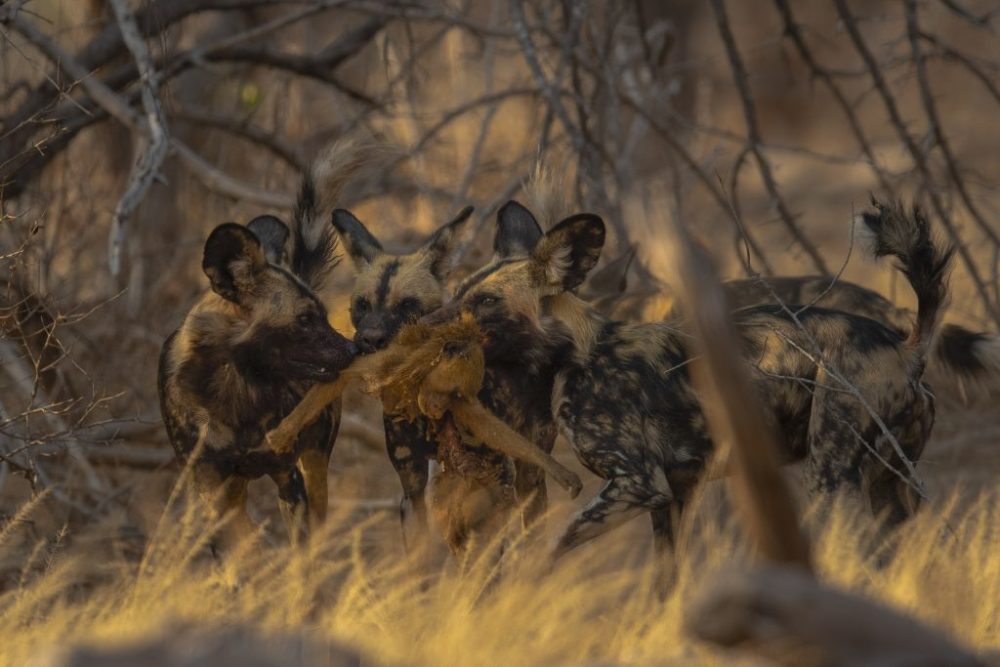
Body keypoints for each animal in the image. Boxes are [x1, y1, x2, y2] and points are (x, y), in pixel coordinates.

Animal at [154, 142, 362, 548]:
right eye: (304, 319)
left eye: (323, 314)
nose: (353, 350)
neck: (232, 388)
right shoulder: (210, 485)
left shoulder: (286, 474)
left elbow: (298, 555)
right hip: (235, 489)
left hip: (314, 465)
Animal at [424, 200, 952, 564]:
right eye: (458, 291)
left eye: (486, 301)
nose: (424, 322)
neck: (573, 354)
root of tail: (906, 346)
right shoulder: (676, 494)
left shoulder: (639, 485)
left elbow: (547, 552)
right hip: (889, 486)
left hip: (830, 475)